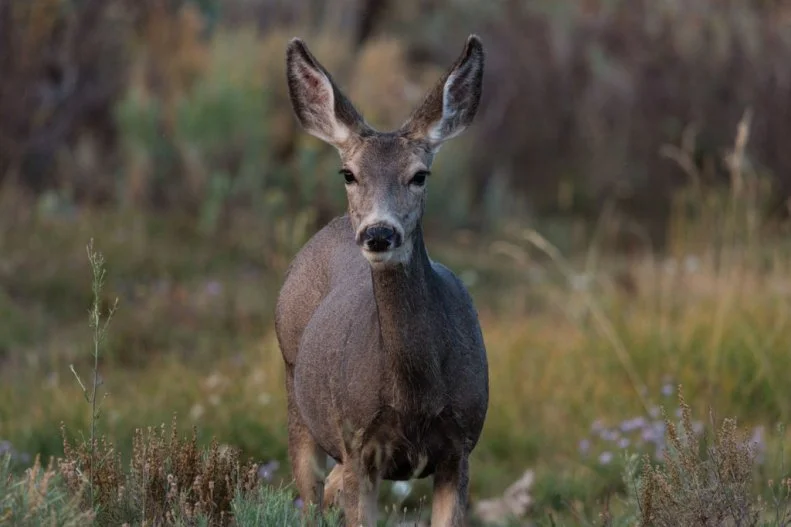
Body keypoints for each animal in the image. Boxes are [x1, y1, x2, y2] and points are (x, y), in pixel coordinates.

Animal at [275, 33, 489, 527]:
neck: (414, 398)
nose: (378, 232)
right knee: (311, 496)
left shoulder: (461, 445)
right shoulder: (358, 443)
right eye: (349, 174)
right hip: (297, 394)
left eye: (420, 175)